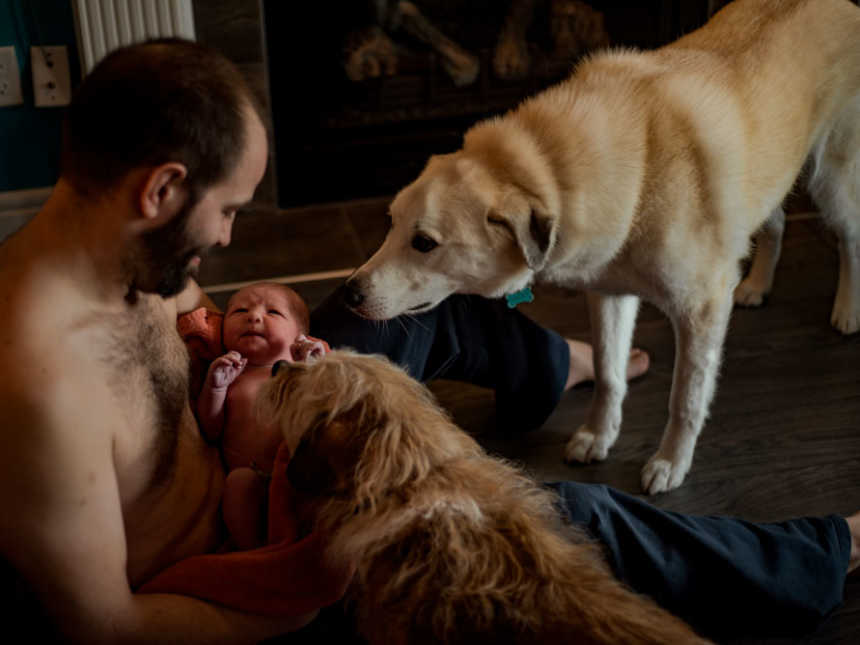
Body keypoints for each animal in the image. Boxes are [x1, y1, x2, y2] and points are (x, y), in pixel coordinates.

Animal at [340, 0, 860, 494]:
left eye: (424, 243)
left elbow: (685, 400)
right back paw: (755, 285)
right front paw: (597, 437)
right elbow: (610, 376)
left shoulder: (701, 311)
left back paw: (847, 311)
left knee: (849, 238)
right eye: (390, 224)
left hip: (832, 181)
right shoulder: (609, 295)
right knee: (775, 222)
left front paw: (670, 463)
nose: (349, 294)